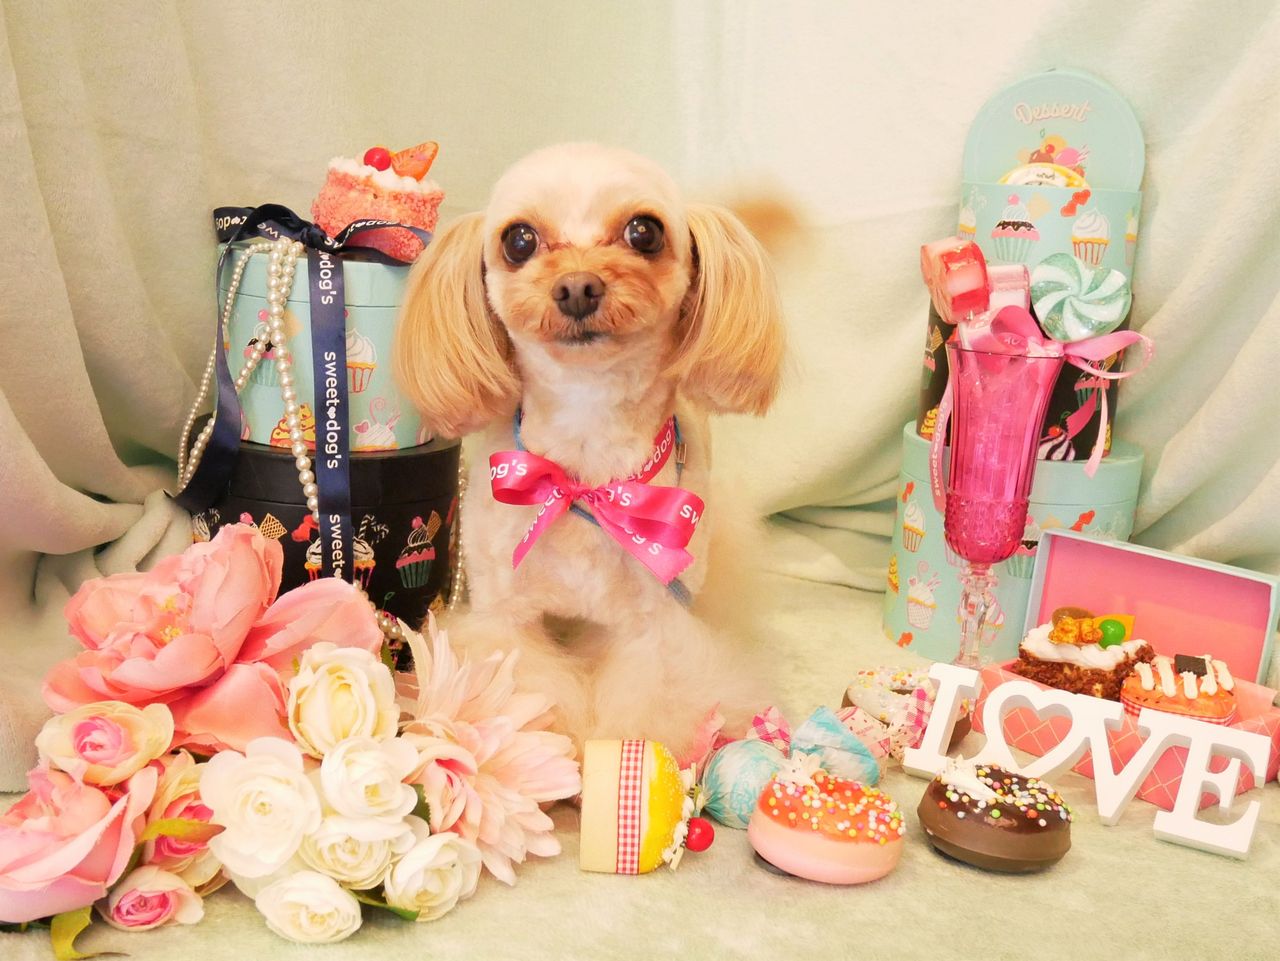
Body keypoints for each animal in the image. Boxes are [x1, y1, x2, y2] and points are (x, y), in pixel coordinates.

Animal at [394, 142, 786, 757]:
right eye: (519, 239)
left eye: (644, 231)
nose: (578, 285)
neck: (586, 462)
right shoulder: (505, 614)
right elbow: (526, 688)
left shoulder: (657, 625)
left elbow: (647, 702)